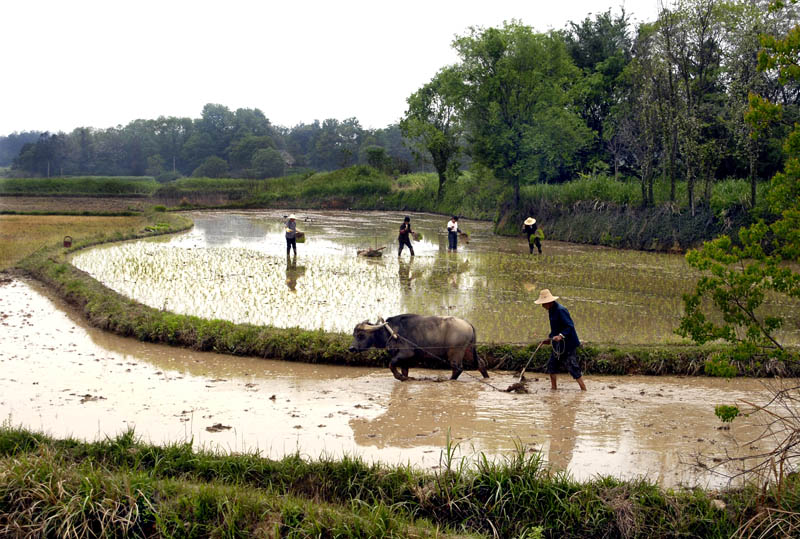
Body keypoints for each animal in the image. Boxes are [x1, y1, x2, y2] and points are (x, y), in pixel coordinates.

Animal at [348, 314, 490, 382]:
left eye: (361, 335)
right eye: (354, 334)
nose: (351, 348)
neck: (391, 333)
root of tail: (468, 324)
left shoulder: (405, 354)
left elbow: (391, 364)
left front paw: (400, 377)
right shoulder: (404, 361)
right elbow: (404, 371)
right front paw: (404, 378)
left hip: (456, 353)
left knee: (457, 368)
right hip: (468, 351)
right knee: (480, 363)